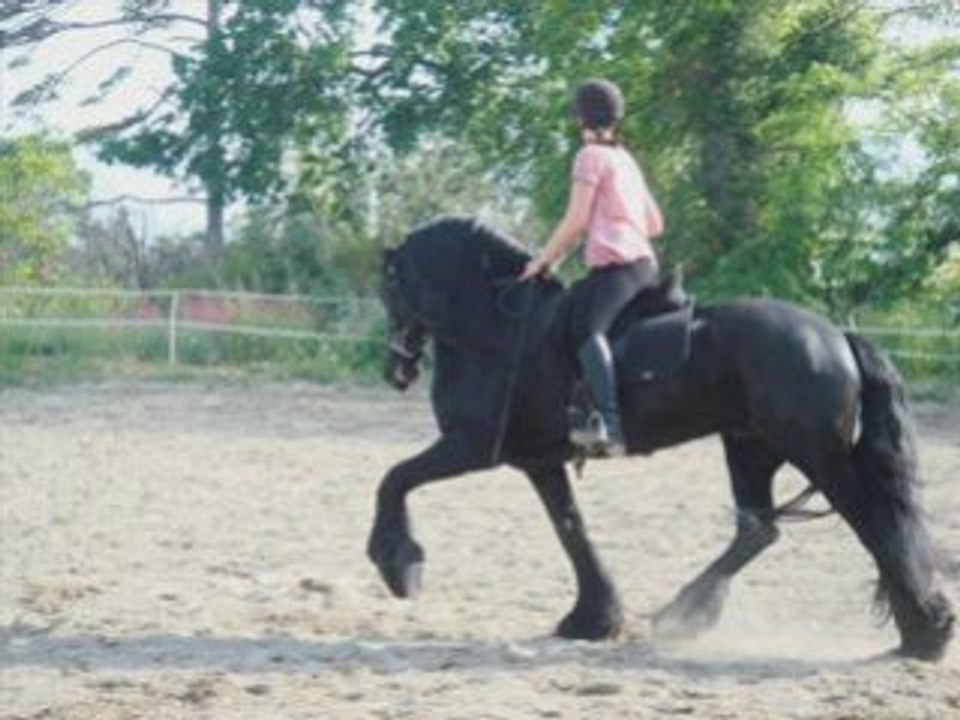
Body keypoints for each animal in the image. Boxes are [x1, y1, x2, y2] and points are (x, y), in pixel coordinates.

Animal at [367, 216, 955, 661]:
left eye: (390, 286)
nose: (395, 369)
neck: (502, 332)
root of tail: (835, 336)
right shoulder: (538, 460)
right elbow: (571, 529)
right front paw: (594, 618)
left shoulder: (470, 446)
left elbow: (393, 478)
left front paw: (399, 564)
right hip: (749, 445)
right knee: (758, 530)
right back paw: (686, 613)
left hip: (816, 456)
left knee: (873, 526)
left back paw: (926, 635)